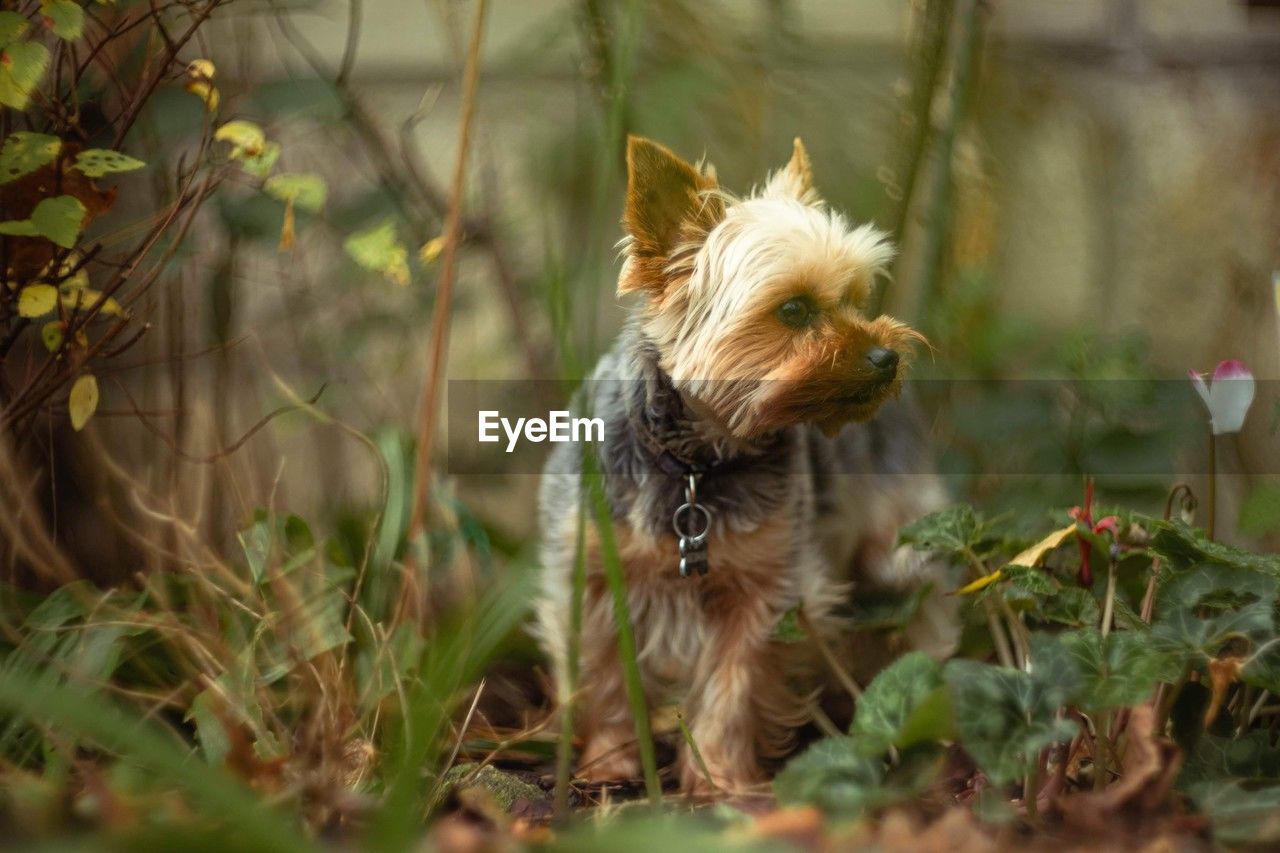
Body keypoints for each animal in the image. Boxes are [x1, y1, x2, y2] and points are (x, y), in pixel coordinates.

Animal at [535, 136, 957, 794]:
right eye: (793, 309)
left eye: (854, 299)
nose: (886, 357)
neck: (696, 461)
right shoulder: (590, 575)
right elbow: (603, 674)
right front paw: (609, 764)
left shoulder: (767, 592)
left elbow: (734, 686)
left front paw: (720, 780)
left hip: (900, 544)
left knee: (918, 612)